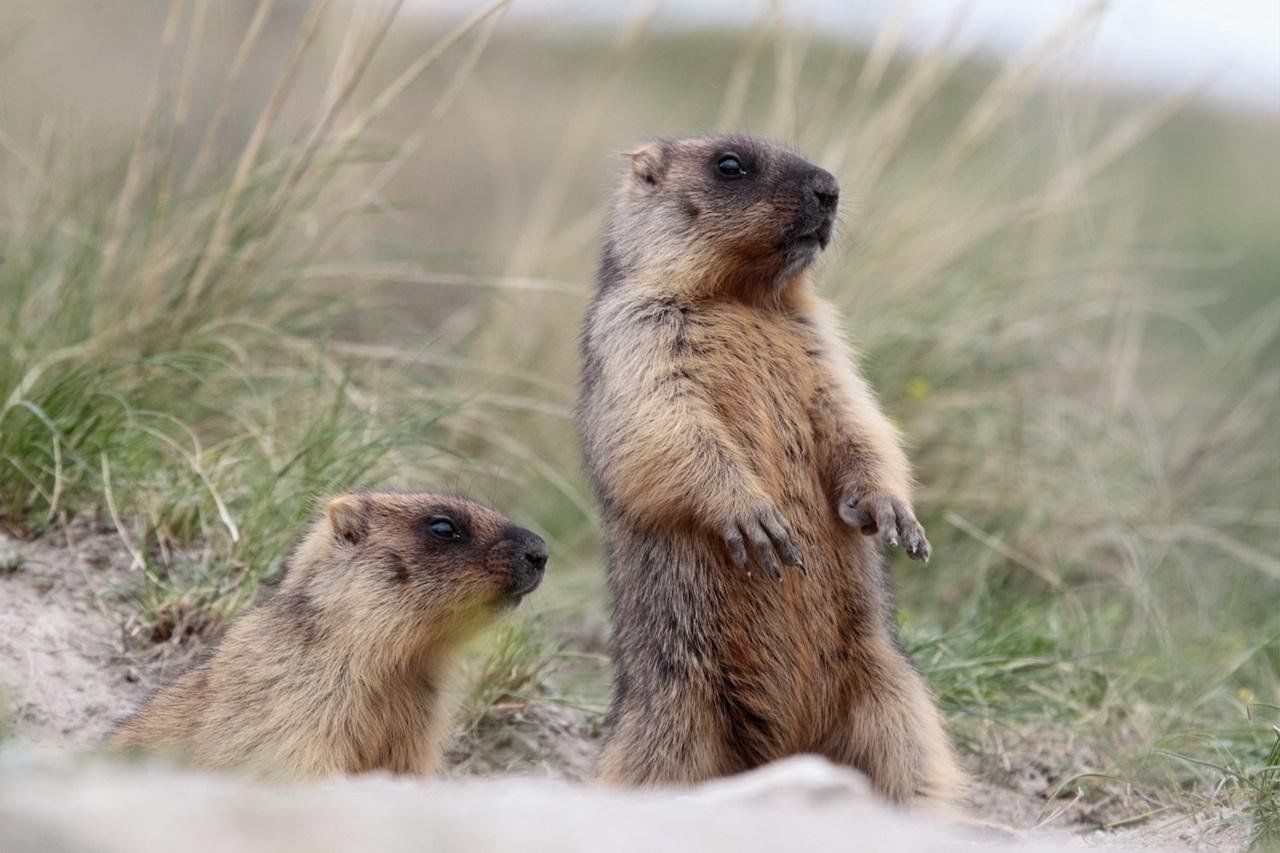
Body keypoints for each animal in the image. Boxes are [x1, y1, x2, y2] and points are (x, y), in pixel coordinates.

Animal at [578, 133, 962, 804]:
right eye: (730, 165)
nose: (830, 188)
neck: (747, 297)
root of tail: (786, 754)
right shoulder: (635, 332)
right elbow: (666, 415)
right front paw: (755, 517)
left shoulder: (824, 342)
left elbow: (854, 413)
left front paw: (896, 515)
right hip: (671, 723)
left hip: (898, 702)